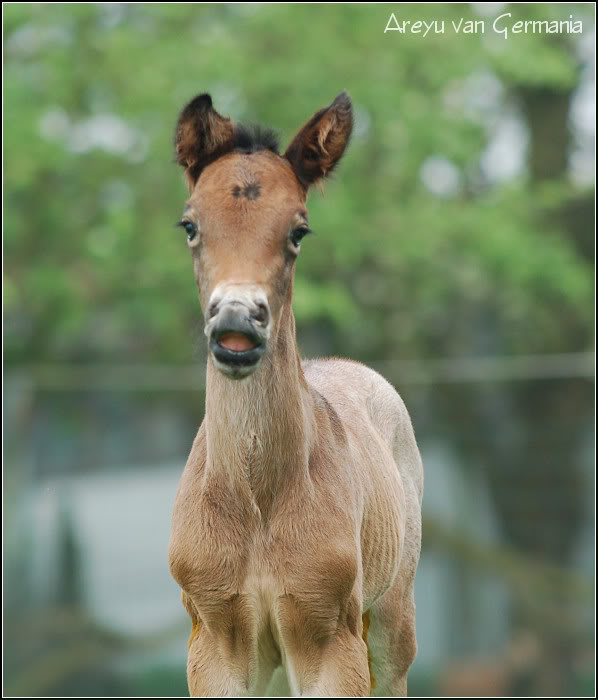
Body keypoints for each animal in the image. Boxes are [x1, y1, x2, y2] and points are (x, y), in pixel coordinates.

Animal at [166, 91, 424, 696]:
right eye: (189, 224)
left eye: (298, 230)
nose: (237, 325)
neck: (257, 503)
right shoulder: (213, 641)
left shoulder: (330, 638)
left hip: (391, 623)